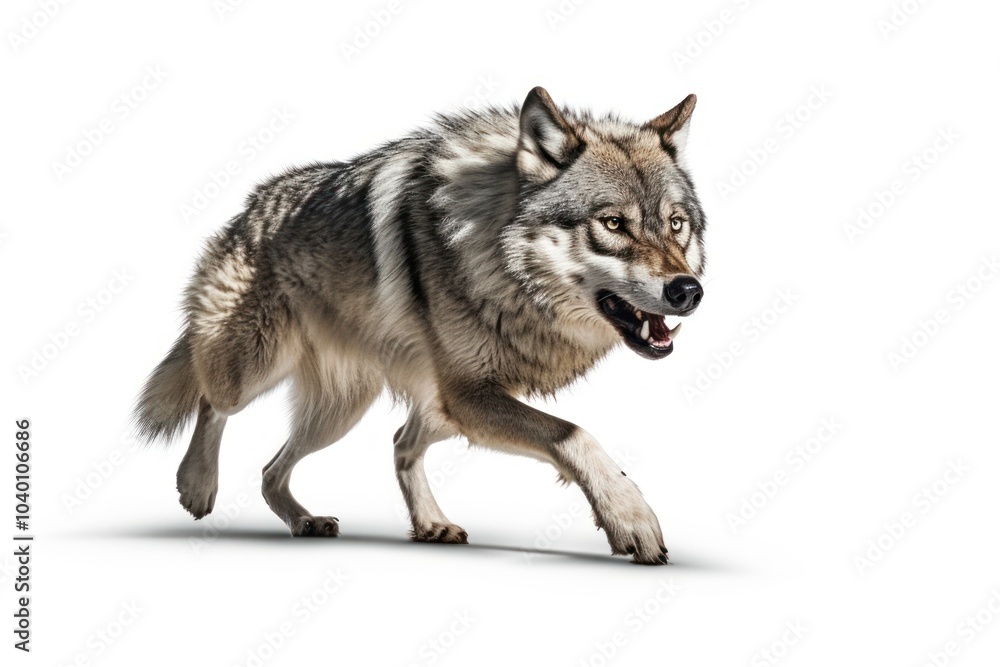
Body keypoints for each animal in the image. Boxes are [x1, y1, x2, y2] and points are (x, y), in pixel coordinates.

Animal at [132, 87, 706, 564]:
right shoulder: (470, 394)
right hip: (259, 368)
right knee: (212, 400)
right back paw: (198, 485)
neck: (495, 259)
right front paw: (631, 519)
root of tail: (248, 208)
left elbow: (567, 437)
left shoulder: (467, 396)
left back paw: (372, 522)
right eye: (613, 224)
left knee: (337, 456)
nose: (688, 291)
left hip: (368, 408)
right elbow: (575, 435)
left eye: (676, 224)